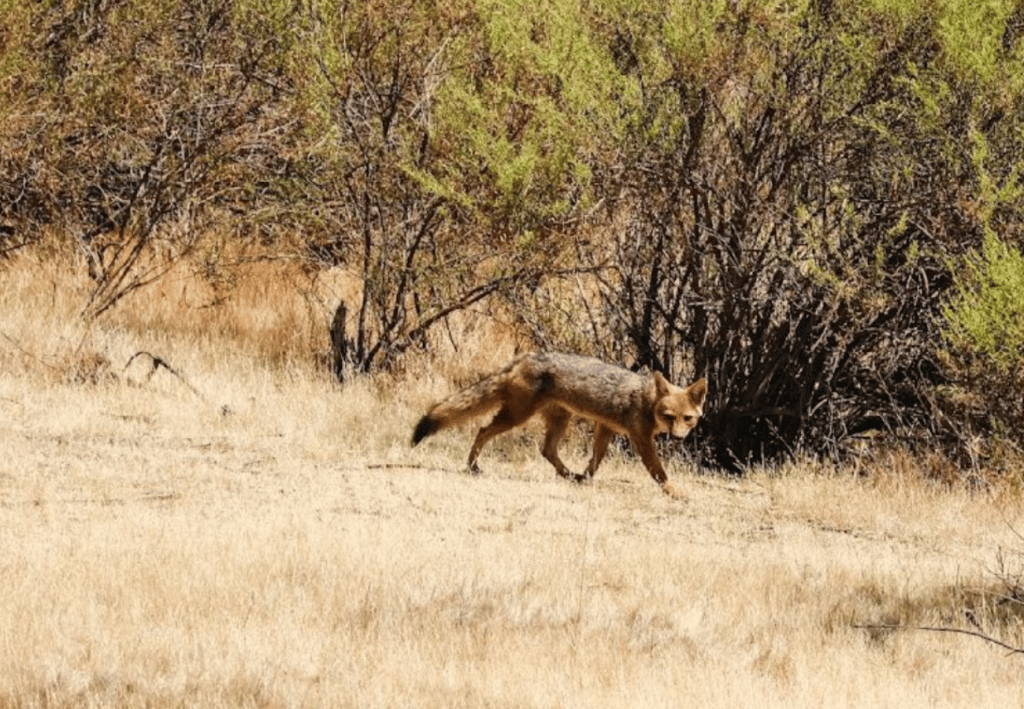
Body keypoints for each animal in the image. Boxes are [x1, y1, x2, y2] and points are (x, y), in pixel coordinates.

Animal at [411, 352, 708, 499]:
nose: (678, 438)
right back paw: (472, 466)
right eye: (669, 416)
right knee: (483, 430)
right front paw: (675, 492)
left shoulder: (606, 427)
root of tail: (523, 358)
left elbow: (595, 460)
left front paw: (585, 479)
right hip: (516, 417)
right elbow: (659, 472)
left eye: (687, 418)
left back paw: (568, 475)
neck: (646, 401)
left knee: (546, 450)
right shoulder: (641, 439)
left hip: (558, 420)